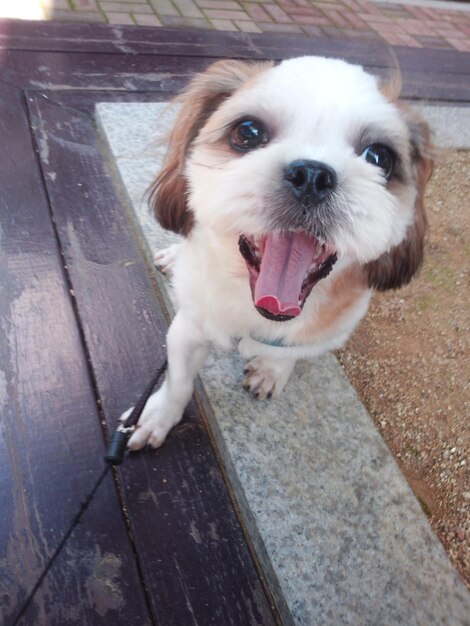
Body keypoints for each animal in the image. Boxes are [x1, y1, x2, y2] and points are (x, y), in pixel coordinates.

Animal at [124, 54, 434, 448]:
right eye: (248, 132)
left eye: (379, 156)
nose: (312, 175)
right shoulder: (189, 328)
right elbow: (178, 382)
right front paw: (158, 416)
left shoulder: (326, 334)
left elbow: (291, 352)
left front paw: (271, 369)